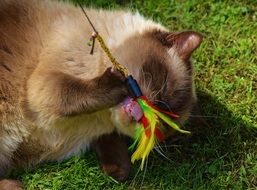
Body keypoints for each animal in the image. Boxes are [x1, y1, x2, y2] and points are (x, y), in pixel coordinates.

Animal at [0, 0, 202, 189]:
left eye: (163, 125)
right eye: (164, 84)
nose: (151, 114)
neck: (97, 117)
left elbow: (116, 153)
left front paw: (117, 171)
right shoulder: (44, 83)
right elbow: (76, 91)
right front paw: (117, 80)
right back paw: (18, 185)